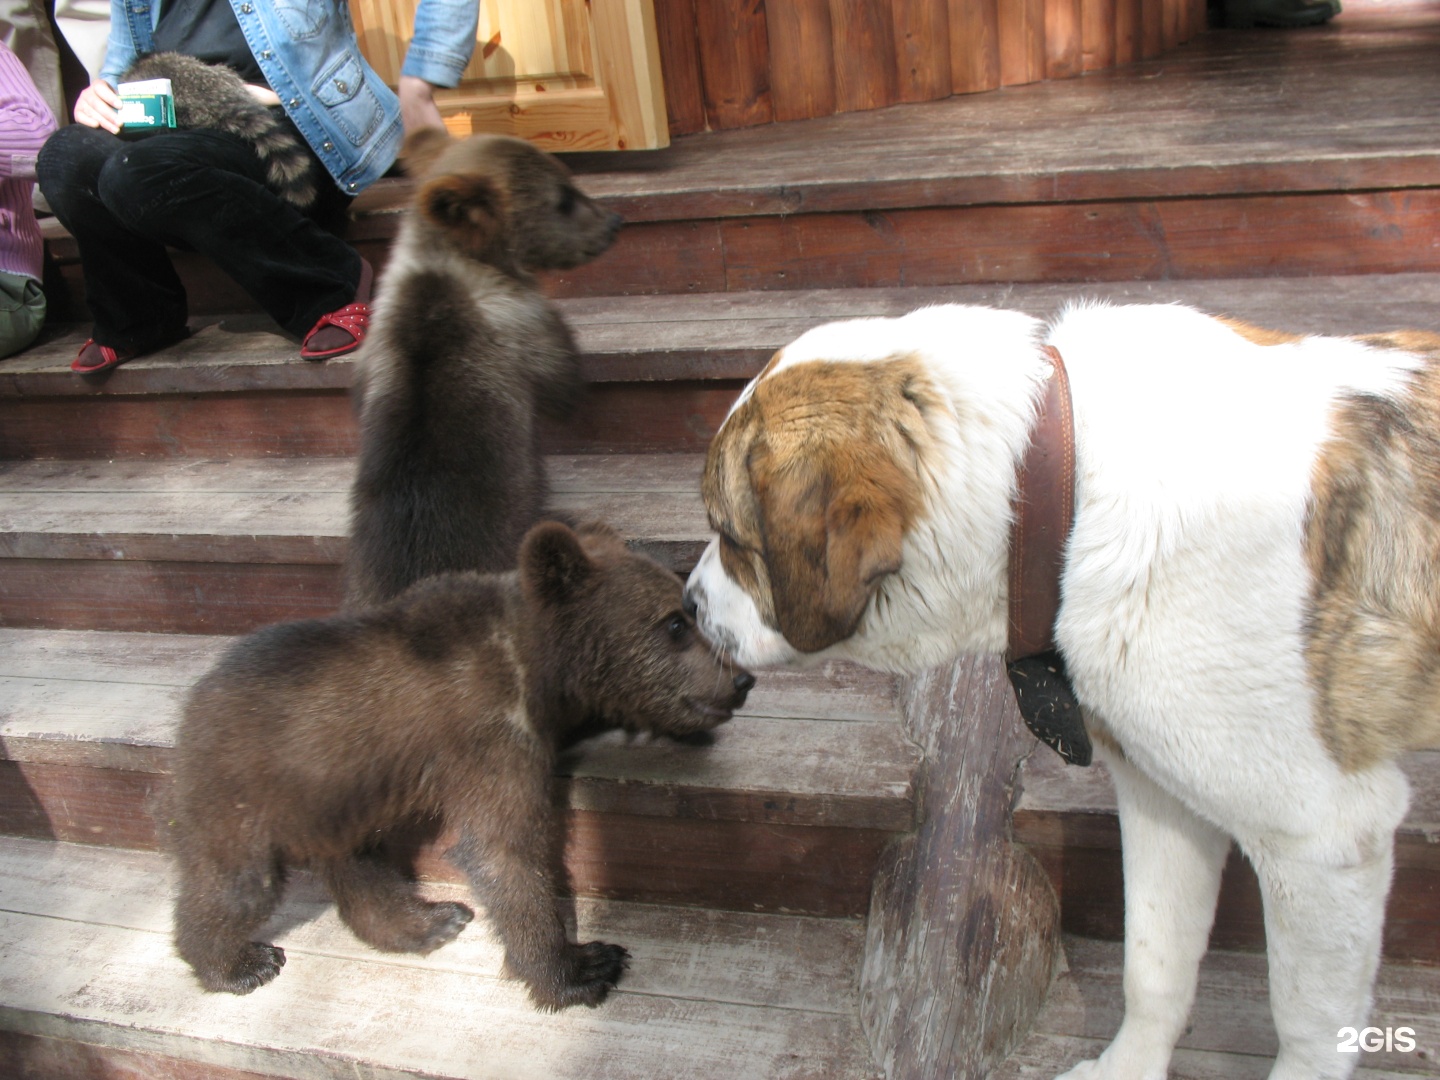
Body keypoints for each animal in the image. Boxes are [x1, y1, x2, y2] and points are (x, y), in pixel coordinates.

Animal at [685, 302, 1440, 1080]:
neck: (1061, 480)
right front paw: (1128, 1067)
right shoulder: (1162, 792)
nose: (688, 603)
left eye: (731, 537)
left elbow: (1308, 1026)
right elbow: (1154, 963)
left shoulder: (1322, 839)